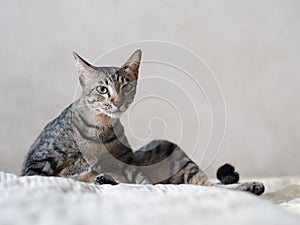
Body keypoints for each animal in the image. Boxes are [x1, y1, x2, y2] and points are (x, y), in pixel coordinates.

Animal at [21, 49, 264, 195]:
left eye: (126, 86)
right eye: (102, 90)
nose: (117, 101)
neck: (101, 127)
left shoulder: (128, 162)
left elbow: (138, 180)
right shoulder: (36, 166)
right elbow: (71, 174)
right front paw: (91, 172)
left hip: (168, 148)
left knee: (211, 187)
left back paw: (251, 186)